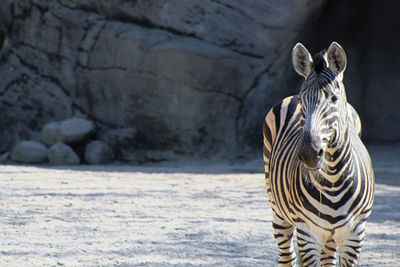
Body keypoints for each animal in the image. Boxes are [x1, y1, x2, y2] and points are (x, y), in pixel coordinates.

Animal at [262, 41, 376, 266]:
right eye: (303, 101)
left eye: (334, 98)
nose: (309, 153)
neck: (333, 179)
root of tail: (289, 97)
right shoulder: (307, 233)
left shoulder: (354, 236)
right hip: (277, 209)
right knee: (287, 256)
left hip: (331, 236)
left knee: (327, 258)